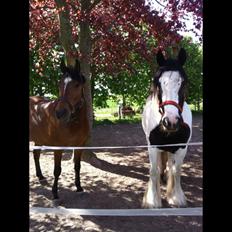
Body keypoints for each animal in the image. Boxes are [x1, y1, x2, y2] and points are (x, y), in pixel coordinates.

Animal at [29, 59, 89, 199]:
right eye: (59, 83)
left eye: (77, 85)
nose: (60, 113)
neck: (73, 123)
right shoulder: (58, 147)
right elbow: (57, 170)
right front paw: (55, 193)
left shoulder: (80, 145)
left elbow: (77, 166)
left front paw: (79, 187)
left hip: (39, 139)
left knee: (36, 155)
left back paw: (40, 176)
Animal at [142, 49, 191, 208]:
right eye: (159, 83)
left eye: (182, 82)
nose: (171, 121)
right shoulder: (152, 147)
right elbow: (154, 171)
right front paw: (152, 200)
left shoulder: (181, 147)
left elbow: (176, 171)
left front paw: (176, 197)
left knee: (169, 164)